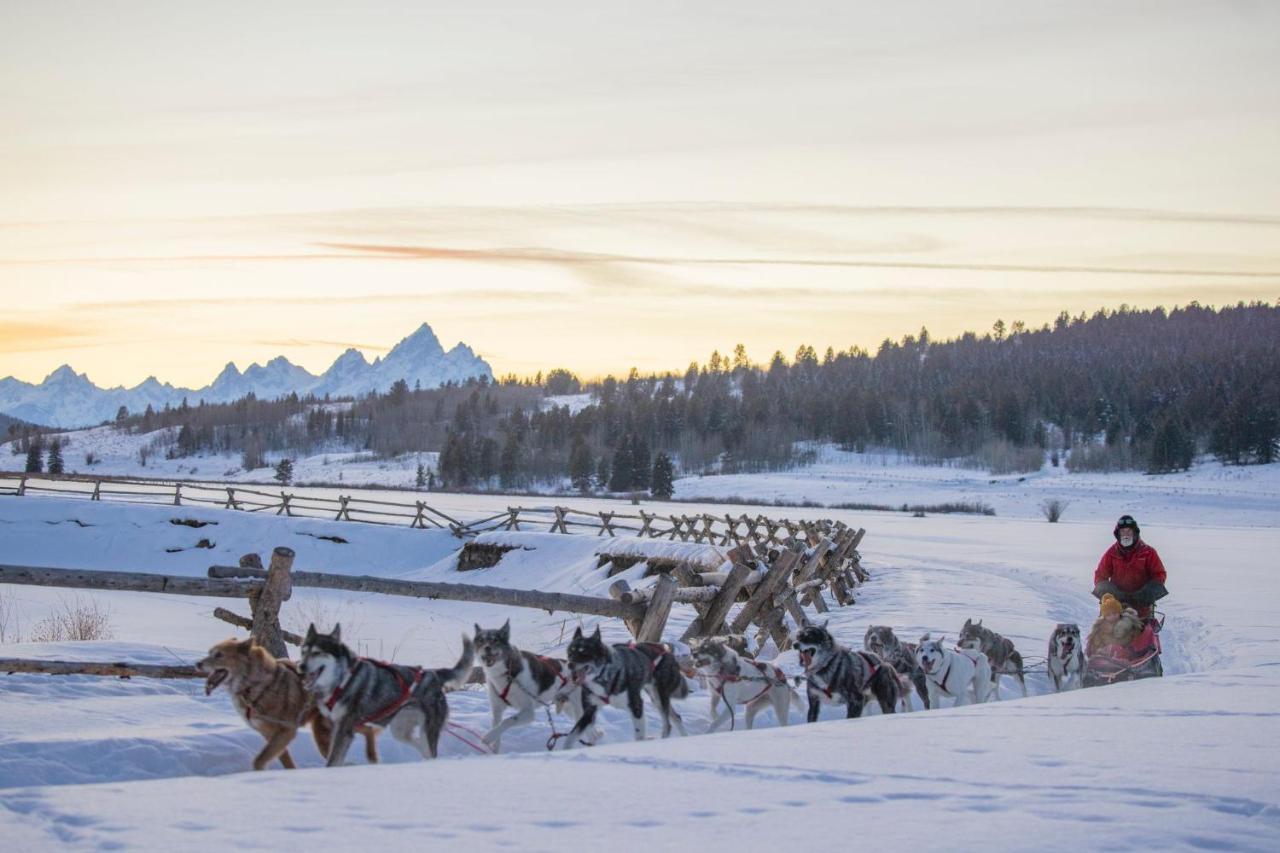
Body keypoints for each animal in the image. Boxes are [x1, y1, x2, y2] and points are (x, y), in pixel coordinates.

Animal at [193, 635, 373, 768]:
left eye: (219, 655)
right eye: (210, 652)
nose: (197, 663)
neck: (254, 685)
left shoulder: (286, 731)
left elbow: (259, 760)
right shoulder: (270, 735)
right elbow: (285, 762)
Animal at [300, 617, 476, 763]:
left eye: (317, 652)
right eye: (303, 652)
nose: (300, 666)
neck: (342, 679)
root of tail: (432, 674)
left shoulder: (344, 729)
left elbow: (332, 761)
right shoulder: (335, 726)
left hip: (426, 730)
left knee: (429, 749)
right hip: (400, 730)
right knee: (421, 745)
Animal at [473, 617, 596, 753]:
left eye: (496, 639)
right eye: (481, 640)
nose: (487, 647)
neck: (507, 672)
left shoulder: (528, 712)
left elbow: (506, 721)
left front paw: (488, 737)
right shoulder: (497, 710)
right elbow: (497, 726)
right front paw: (494, 748)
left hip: (579, 711)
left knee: (594, 734)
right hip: (569, 709)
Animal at [563, 625, 691, 742]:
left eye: (583, 652)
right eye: (570, 653)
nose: (569, 664)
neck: (604, 676)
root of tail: (666, 650)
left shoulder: (636, 706)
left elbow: (639, 736)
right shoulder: (589, 712)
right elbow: (571, 737)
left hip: (659, 697)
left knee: (668, 725)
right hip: (655, 698)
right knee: (677, 718)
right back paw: (684, 737)